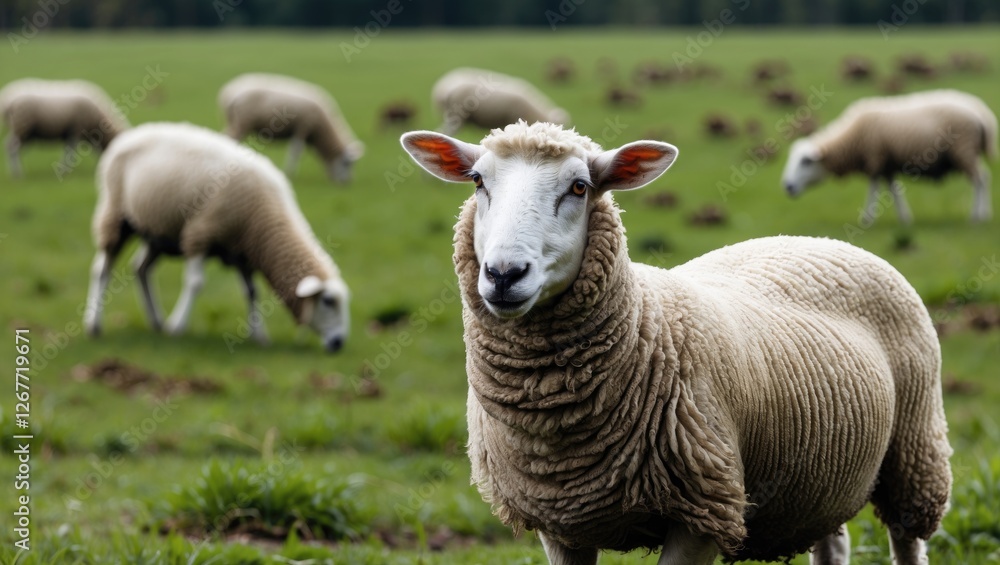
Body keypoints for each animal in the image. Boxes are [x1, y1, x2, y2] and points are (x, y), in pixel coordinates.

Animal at [0, 78, 129, 178]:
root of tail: (6, 99)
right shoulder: (76, 130)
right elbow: (71, 151)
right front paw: (65, 171)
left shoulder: (75, 133)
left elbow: (72, 150)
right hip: (22, 126)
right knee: (13, 148)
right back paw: (18, 174)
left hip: (25, 132)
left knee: (12, 147)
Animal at [83, 122, 350, 352]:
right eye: (328, 301)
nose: (339, 343)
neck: (264, 219)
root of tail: (130, 135)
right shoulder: (199, 233)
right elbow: (195, 283)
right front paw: (177, 326)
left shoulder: (243, 251)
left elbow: (252, 292)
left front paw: (259, 335)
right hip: (115, 216)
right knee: (102, 269)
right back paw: (94, 324)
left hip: (158, 232)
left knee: (141, 268)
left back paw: (156, 321)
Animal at [218, 73, 364, 184]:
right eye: (346, 163)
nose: (348, 182)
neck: (321, 129)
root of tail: (233, 98)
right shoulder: (303, 126)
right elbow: (296, 151)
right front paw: (289, 173)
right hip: (242, 123)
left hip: (234, 123)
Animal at [401, 120, 952, 565]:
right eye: (478, 181)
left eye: (579, 186)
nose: (503, 274)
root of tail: (818, 240)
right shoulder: (560, 524)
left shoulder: (703, 511)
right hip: (819, 480)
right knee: (833, 542)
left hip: (913, 454)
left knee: (908, 541)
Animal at [782, 89, 997, 224]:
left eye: (805, 162)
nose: (788, 187)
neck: (851, 140)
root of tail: (983, 114)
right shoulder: (886, 164)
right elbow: (894, 191)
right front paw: (905, 217)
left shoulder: (875, 159)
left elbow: (874, 189)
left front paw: (867, 218)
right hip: (969, 152)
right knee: (985, 177)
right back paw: (985, 213)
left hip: (964, 150)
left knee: (979, 180)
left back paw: (977, 216)